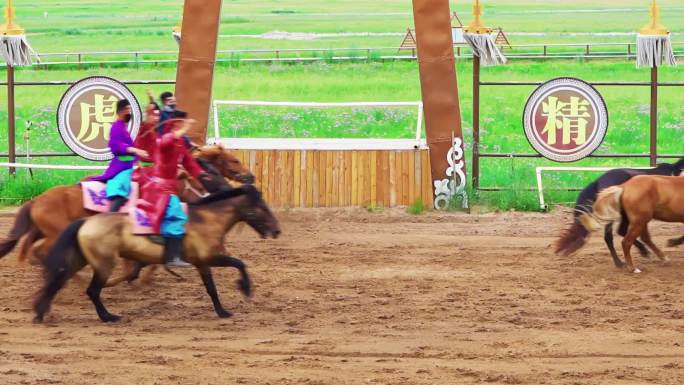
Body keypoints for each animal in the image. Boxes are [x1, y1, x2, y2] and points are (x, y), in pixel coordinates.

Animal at [0, 144, 254, 264]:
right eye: (234, 160)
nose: (250, 176)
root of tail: (36, 201)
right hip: (54, 232)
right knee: (40, 252)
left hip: (42, 230)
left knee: (30, 249)